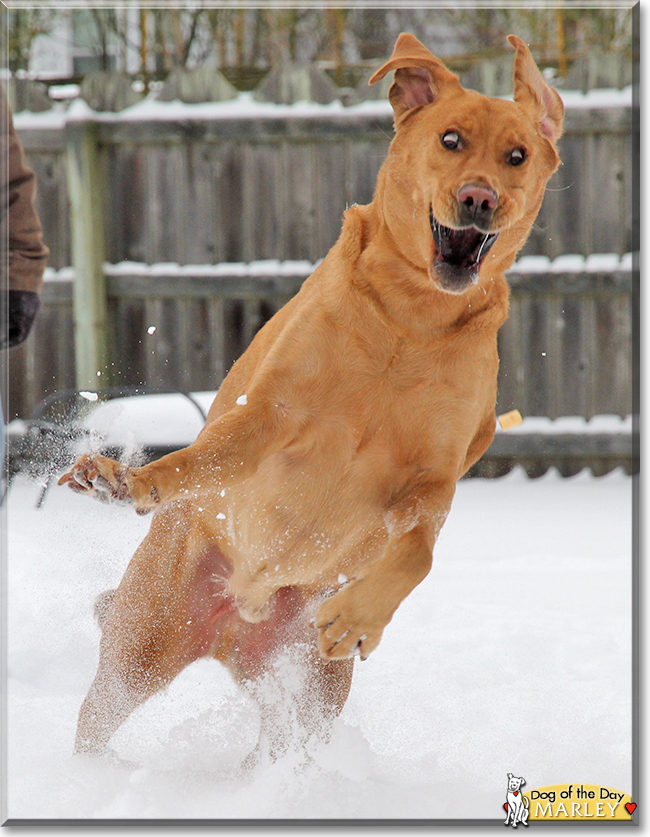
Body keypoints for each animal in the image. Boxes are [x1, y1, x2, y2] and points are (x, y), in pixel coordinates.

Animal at [58, 34, 560, 756]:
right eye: (451, 139)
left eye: (517, 155)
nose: (479, 198)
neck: (410, 318)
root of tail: (240, 611)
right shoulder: (269, 417)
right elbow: (201, 457)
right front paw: (128, 481)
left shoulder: (431, 484)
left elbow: (419, 552)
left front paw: (360, 616)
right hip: (142, 644)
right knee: (97, 715)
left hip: (307, 687)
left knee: (286, 740)